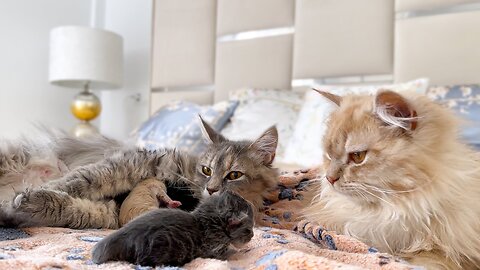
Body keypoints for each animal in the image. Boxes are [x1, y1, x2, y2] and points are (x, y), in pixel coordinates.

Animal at [3, 117, 280, 228]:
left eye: (234, 175)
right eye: (206, 169)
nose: (211, 189)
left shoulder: (111, 211)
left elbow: (69, 208)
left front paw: (29, 201)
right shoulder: (137, 162)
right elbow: (79, 181)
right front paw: (37, 191)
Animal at [91, 191, 255, 266]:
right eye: (248, 230)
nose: (253, 235)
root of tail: (122, 234)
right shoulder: (213, 249)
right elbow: (229, 253)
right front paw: (243, 251)